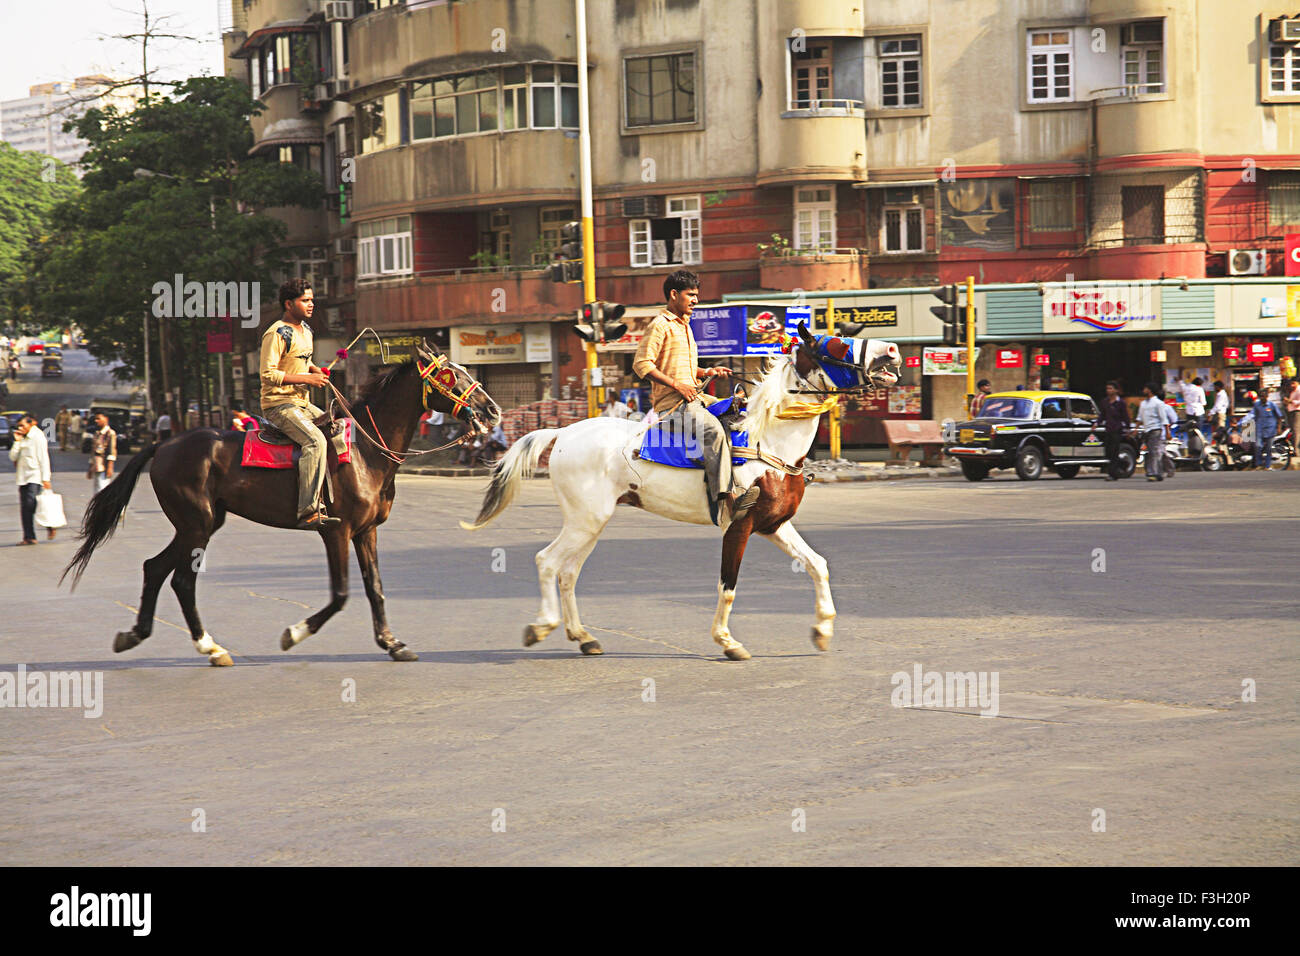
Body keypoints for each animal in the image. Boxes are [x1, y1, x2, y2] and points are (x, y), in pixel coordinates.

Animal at [64, 343, 501, 665]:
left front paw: (393, 643)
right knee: (181, 579)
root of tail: (166, 443)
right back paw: (209, 646)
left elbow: (375, 588)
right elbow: (341, 594)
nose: (492, 410)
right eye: (450, 375)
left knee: (155, 569)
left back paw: (141, 635)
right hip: (196, 524)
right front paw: (294, 633)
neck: (365, 452)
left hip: (201, 523)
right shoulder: (336, 530)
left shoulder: (366, 531)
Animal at [462, 325, 899, 660]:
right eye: (836, 344)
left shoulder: (773, 525)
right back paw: (543, 626)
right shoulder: (738, 525)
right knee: (548, 562)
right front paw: (727, 641)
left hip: (591, 522)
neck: (767, 441)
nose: (893, 351)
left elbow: (817, 565)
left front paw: (822, 629)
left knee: (568, 572)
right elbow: (728, 587)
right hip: (585, 521)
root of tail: (563, 432)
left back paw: (583, 637)